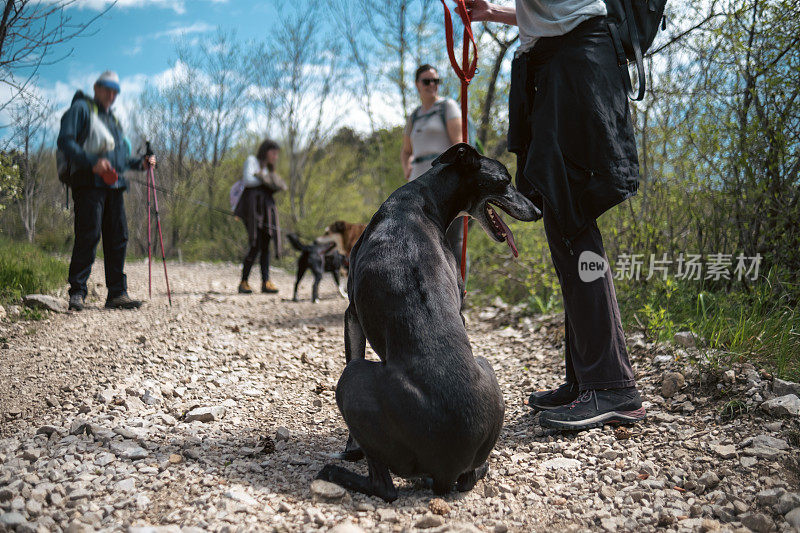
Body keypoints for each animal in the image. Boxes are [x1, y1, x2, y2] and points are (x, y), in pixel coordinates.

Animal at [316, 143, 540, 500]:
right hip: (485, 366)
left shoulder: (351, 313)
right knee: (471, 475)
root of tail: (446, 471)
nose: (538, 211)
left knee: (385, 488)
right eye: (505, 181)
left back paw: (333, 473)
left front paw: (351, 448)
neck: (419, 201)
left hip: (351, 380)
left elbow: (352, 352)